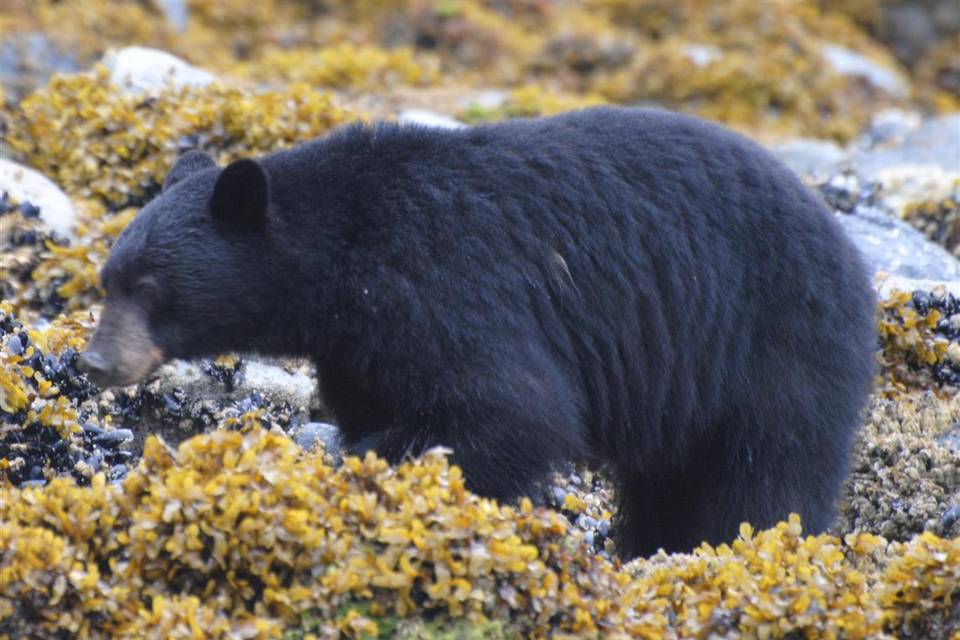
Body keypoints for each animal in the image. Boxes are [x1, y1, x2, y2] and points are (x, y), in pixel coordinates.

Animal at [80, 107, 876, 556]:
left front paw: (359, 469)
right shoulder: (359, 348)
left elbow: (510, 409)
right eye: (106, 280)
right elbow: (388, 403)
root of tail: (850, 251)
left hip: (775, 348)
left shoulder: (445, 280)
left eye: (148, 287)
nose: (94, 362)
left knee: (763, 478)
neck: (342, 254)